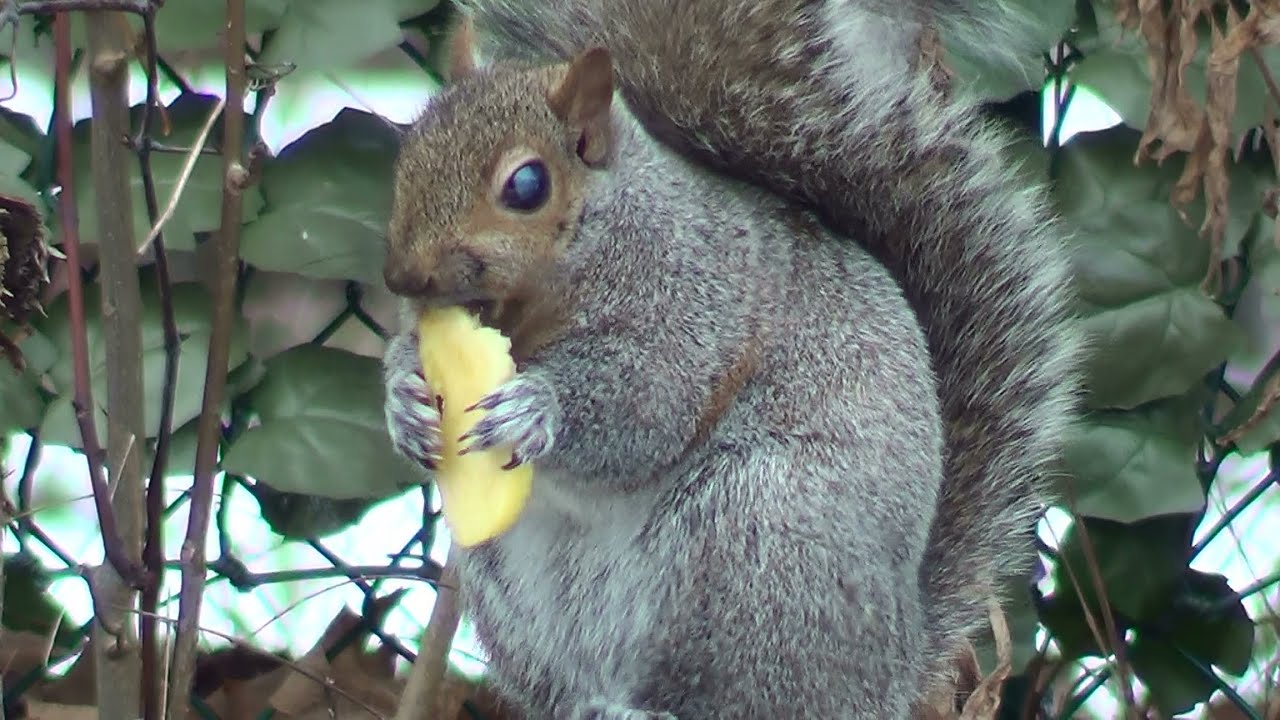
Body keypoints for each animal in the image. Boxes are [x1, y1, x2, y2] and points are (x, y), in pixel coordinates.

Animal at [381, 1, 1082, 718]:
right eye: (408, 154)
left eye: (527, 184)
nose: (404, 277)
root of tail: (891, 673)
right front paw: (404, 402)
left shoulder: (697, 308)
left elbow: (647, 406)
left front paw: (538, 406)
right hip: (517, 591)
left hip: (755, 541)